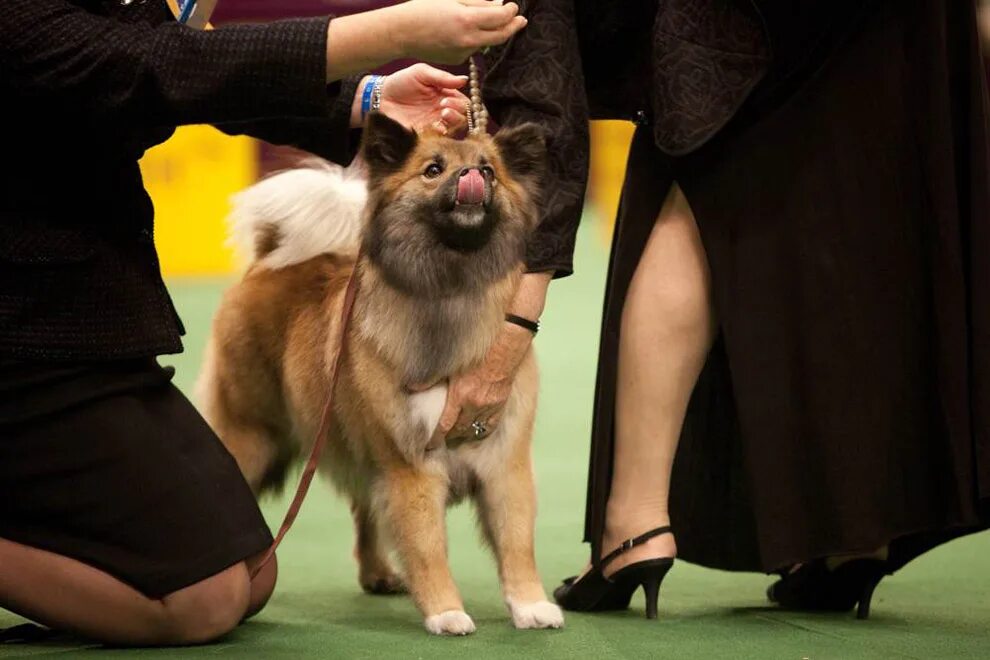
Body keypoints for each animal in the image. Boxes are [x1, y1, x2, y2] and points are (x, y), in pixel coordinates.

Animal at [198, 112, 560, 636]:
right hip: (252, 437)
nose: (471, 178)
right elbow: (428, 548)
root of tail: (267, 262)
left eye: (489, 170)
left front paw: (531, 605)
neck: (453, 288)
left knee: (365, 508)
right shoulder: (410, 466)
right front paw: (446, 612)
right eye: (433, 170)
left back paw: (377, 574)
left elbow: (516, 542)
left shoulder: (502, 461)